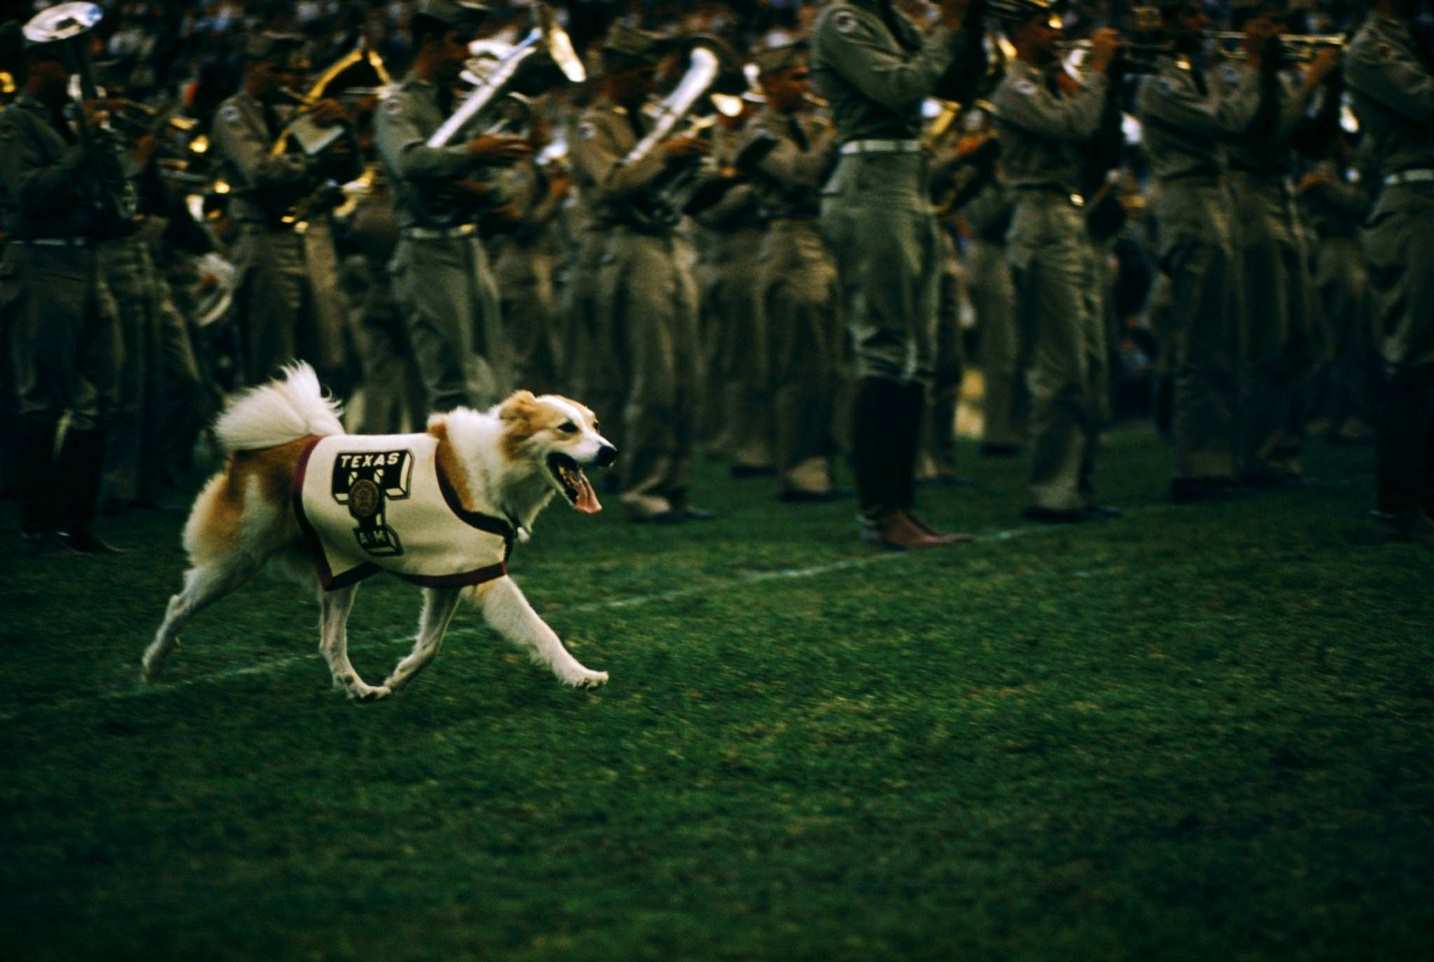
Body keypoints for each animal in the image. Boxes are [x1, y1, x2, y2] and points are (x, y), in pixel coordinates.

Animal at [142, 365, 619, 702]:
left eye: (596, 425)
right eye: (567, 428)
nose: (611, 452)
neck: (494, 466)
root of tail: (254, 453)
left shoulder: (453, 574)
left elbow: (429, 645)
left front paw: (399, 676)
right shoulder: (487, 577)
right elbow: (541, 631)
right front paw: (580, 675)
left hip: (339, 574)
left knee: (330, 642)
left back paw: (358, 689)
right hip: (236, 561)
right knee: (178, 604)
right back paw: (152, 666)